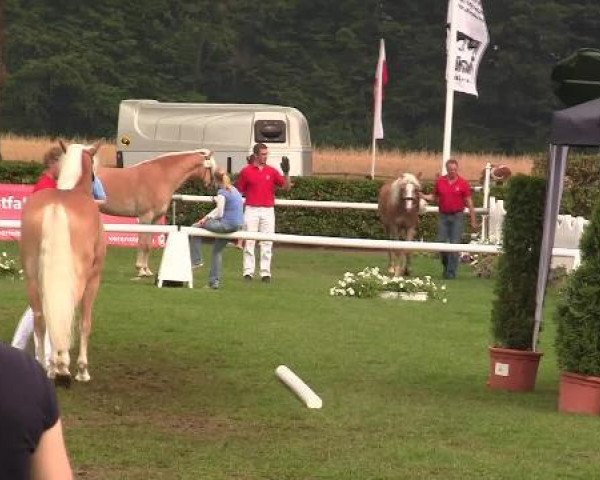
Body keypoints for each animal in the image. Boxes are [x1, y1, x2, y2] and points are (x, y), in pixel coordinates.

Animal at [20, 141, 108, 384]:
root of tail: (56, 207)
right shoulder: (93, 280)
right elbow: (84, 323)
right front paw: (82, 370)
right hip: (76, 281)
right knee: (66, 316)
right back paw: (62, 366)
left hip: (33, 280)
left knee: (41, 320)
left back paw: (46, 366)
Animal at [98, 150, 218, 278]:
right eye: (210, 168)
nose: (213, 187)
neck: (161, 176)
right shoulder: (145, 217)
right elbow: (142, 243)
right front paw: (140, 269)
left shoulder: (154, 220)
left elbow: (148, 245)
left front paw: (146, 270)